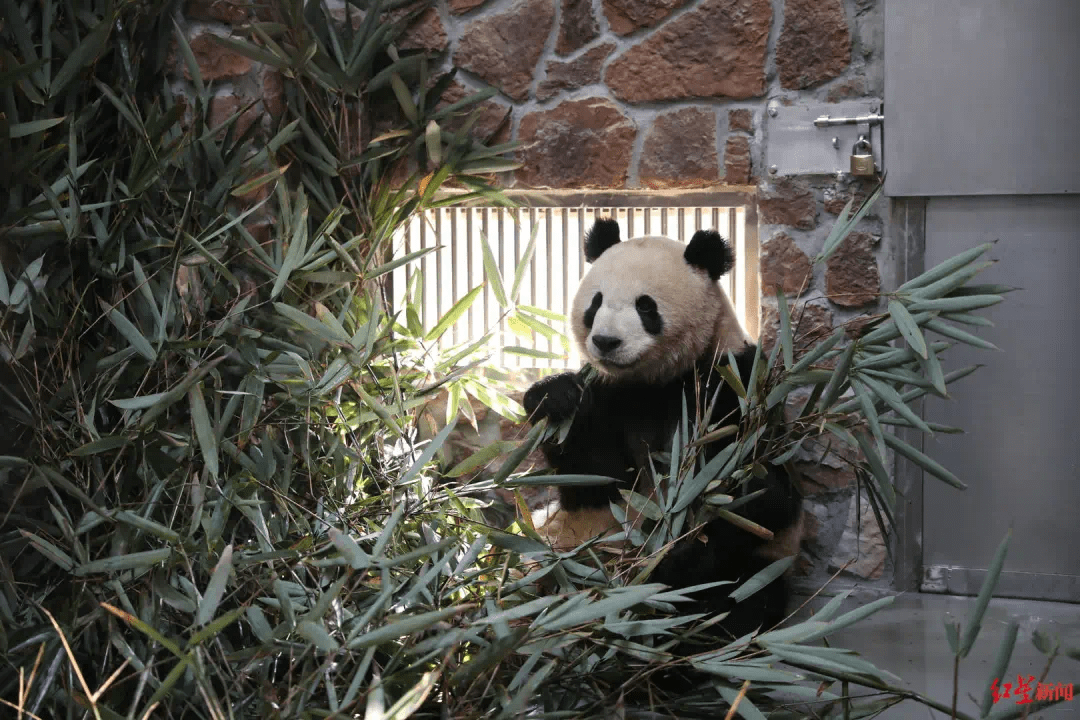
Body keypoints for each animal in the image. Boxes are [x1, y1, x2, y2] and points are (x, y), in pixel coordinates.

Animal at [518, 216, 807, 639]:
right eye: (596, 302)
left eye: (645, 306)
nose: (605, 341)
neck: (653, 381)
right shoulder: (610, 394)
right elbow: (593, 478)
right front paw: (554, 396)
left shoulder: (732, 385)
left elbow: (763, 495)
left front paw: (671, 558)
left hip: (759, 568)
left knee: (737, 601)